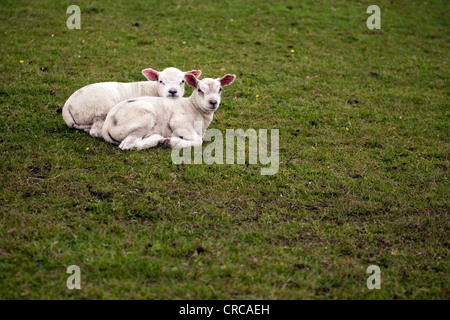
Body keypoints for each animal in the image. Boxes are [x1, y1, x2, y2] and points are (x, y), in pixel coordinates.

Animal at [61, 67, 200, 138]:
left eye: (182, 81)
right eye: (161, 81)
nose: (172, 91)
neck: (154, 90)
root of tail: (67, 106)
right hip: (99, 112)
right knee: (94, 131)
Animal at [101, 73, 236, 151]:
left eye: (220, 89)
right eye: (199, 90)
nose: (213, 102)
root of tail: (107, 125)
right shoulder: (179, 122)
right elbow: (198, 141)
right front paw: (172, 142)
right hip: (144, 119)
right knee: (128, 144)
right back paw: (158, 139)